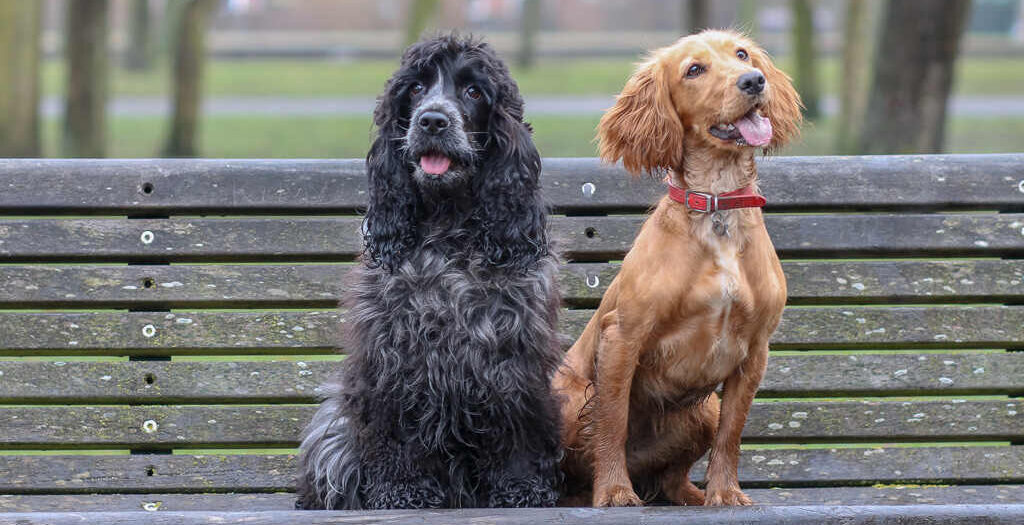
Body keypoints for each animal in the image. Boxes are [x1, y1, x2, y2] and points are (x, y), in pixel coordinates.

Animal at [292, 32, 565, 507]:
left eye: (474, 91)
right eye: (415, 89)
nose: (433, 121)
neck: (448, 226)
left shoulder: (512, 358)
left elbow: (517, 431)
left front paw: (521, 488)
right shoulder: (394, 353)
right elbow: (400, 434)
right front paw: (403, 491)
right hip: (334, 430)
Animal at [552, 30, 798, 505]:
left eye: (742, 55)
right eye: (694, 70)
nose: (754, 81)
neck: (717, 207)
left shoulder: (755, 349)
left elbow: (732, 434)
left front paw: (725, 493)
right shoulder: (623, 337)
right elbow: (611, 422)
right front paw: (614, 492)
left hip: (703, 410)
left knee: (672, 477)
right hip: (565, 400)